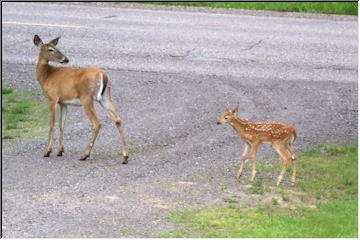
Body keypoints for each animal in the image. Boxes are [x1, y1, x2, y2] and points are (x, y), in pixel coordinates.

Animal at [32, 34, 128, 163]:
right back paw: (125, 157)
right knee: (118, 119)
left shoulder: (52, 98)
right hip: (106, 97)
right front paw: (60, 151)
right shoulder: (63, 102)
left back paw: (85, 154)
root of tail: (102, 74)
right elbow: (61, 125)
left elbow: (51, 125)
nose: (66, 59)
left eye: (56, 48)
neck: (46, 76)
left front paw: (47, 151)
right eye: (51, 49)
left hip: (86, 98)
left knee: (97, 123)